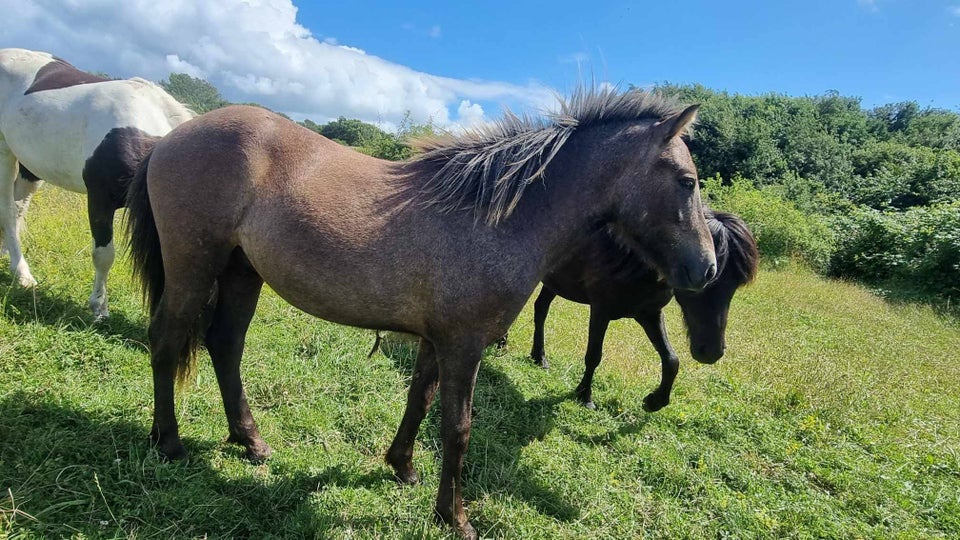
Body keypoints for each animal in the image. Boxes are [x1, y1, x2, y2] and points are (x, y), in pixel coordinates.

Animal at [0, 47, 193, 320]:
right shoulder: (99, 200)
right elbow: (104, 255)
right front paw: (99, 308)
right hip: (4, 151)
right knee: (7, 211)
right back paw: (23, 274)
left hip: (30, 167)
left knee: (17, 209)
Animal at [524, 207, 756, 410]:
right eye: (705, 278)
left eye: (736, 283)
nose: (711, 352)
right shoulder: (600, 311)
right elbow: (593, 356)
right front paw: (584, 396)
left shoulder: (649, 314)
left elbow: (671, 360)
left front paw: (654, 401)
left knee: (541, 309)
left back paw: (539, 357)